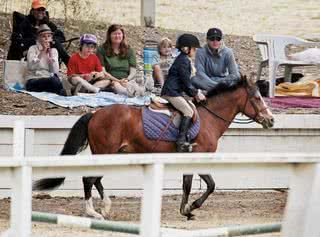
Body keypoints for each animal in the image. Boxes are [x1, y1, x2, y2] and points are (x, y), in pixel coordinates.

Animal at [32, 75, 274, 220]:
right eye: (256, 98)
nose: (271, 120)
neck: (208, 118)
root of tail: (95, 113)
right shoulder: (198, 157)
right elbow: (209, 185)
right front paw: (191, 208)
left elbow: (189, 185)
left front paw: (186, 210)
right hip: (105, 151)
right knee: (88, 179)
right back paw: (93, 212)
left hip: (110, 153)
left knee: (96, 179)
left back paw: (106, 207)